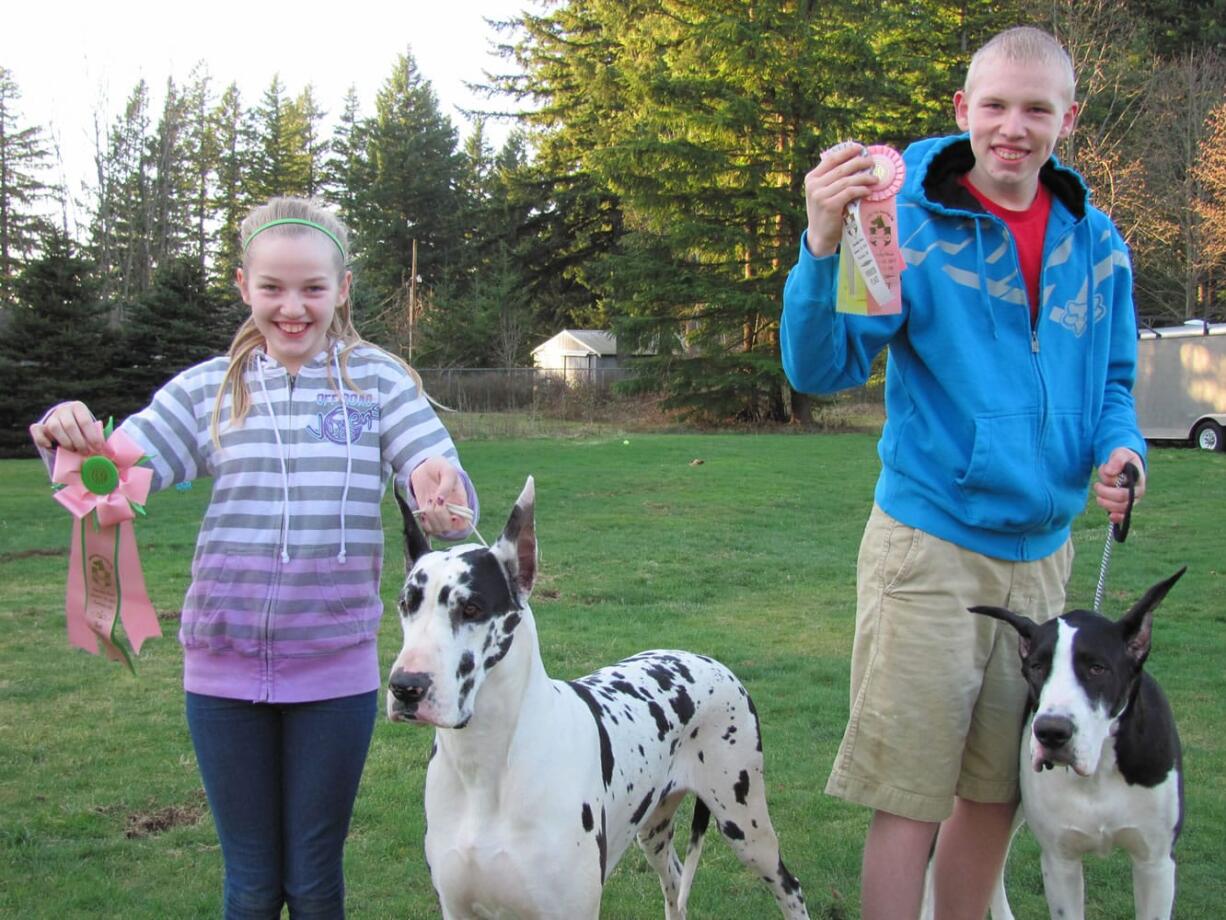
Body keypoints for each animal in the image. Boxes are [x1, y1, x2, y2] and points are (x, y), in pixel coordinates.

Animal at [382, 478, 804, 917]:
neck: (485, 767)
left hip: (746, 824)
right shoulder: (456, 907)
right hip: (653, 831)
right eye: (406, 603)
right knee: (674, 883)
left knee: (789, 886)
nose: (406, 686)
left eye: (472, 607)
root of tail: (713, 662)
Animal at [970, 569, 1181, 920]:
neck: (1100, 772)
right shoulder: (1060, 862)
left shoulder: (1156, 863)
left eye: (1097, 668)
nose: (1051, 733)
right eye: (1037, 667)